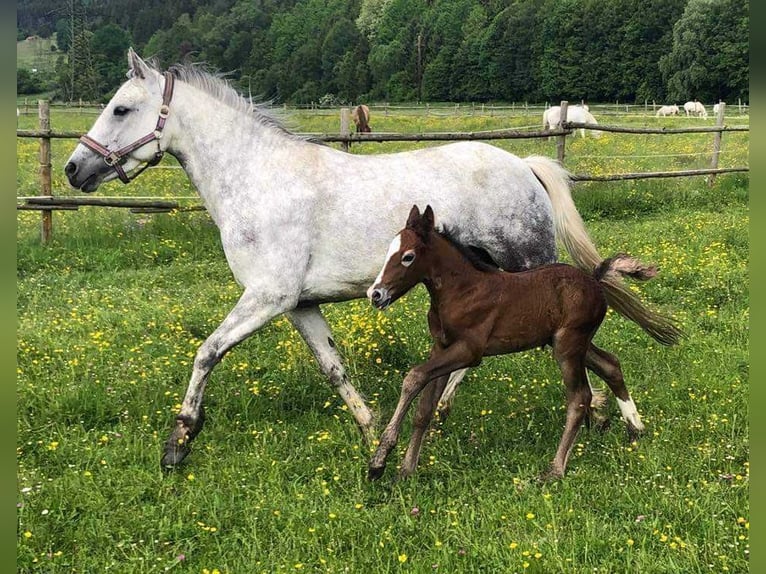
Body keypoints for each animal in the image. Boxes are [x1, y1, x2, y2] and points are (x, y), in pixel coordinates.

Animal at [368, 205, 684, 484]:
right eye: (389, 251)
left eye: (408, 257)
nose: (376, 294)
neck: (462, 291)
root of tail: (595, 279)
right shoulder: (441, 348)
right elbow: (424, 408)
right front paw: (404, 470)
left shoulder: (469, 351)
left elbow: (414, 376)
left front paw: (379, 460)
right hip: (571, 342)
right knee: (611, 365)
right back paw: (635, 429)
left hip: (568, 345)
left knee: (580, 397)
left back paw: (555, 469)